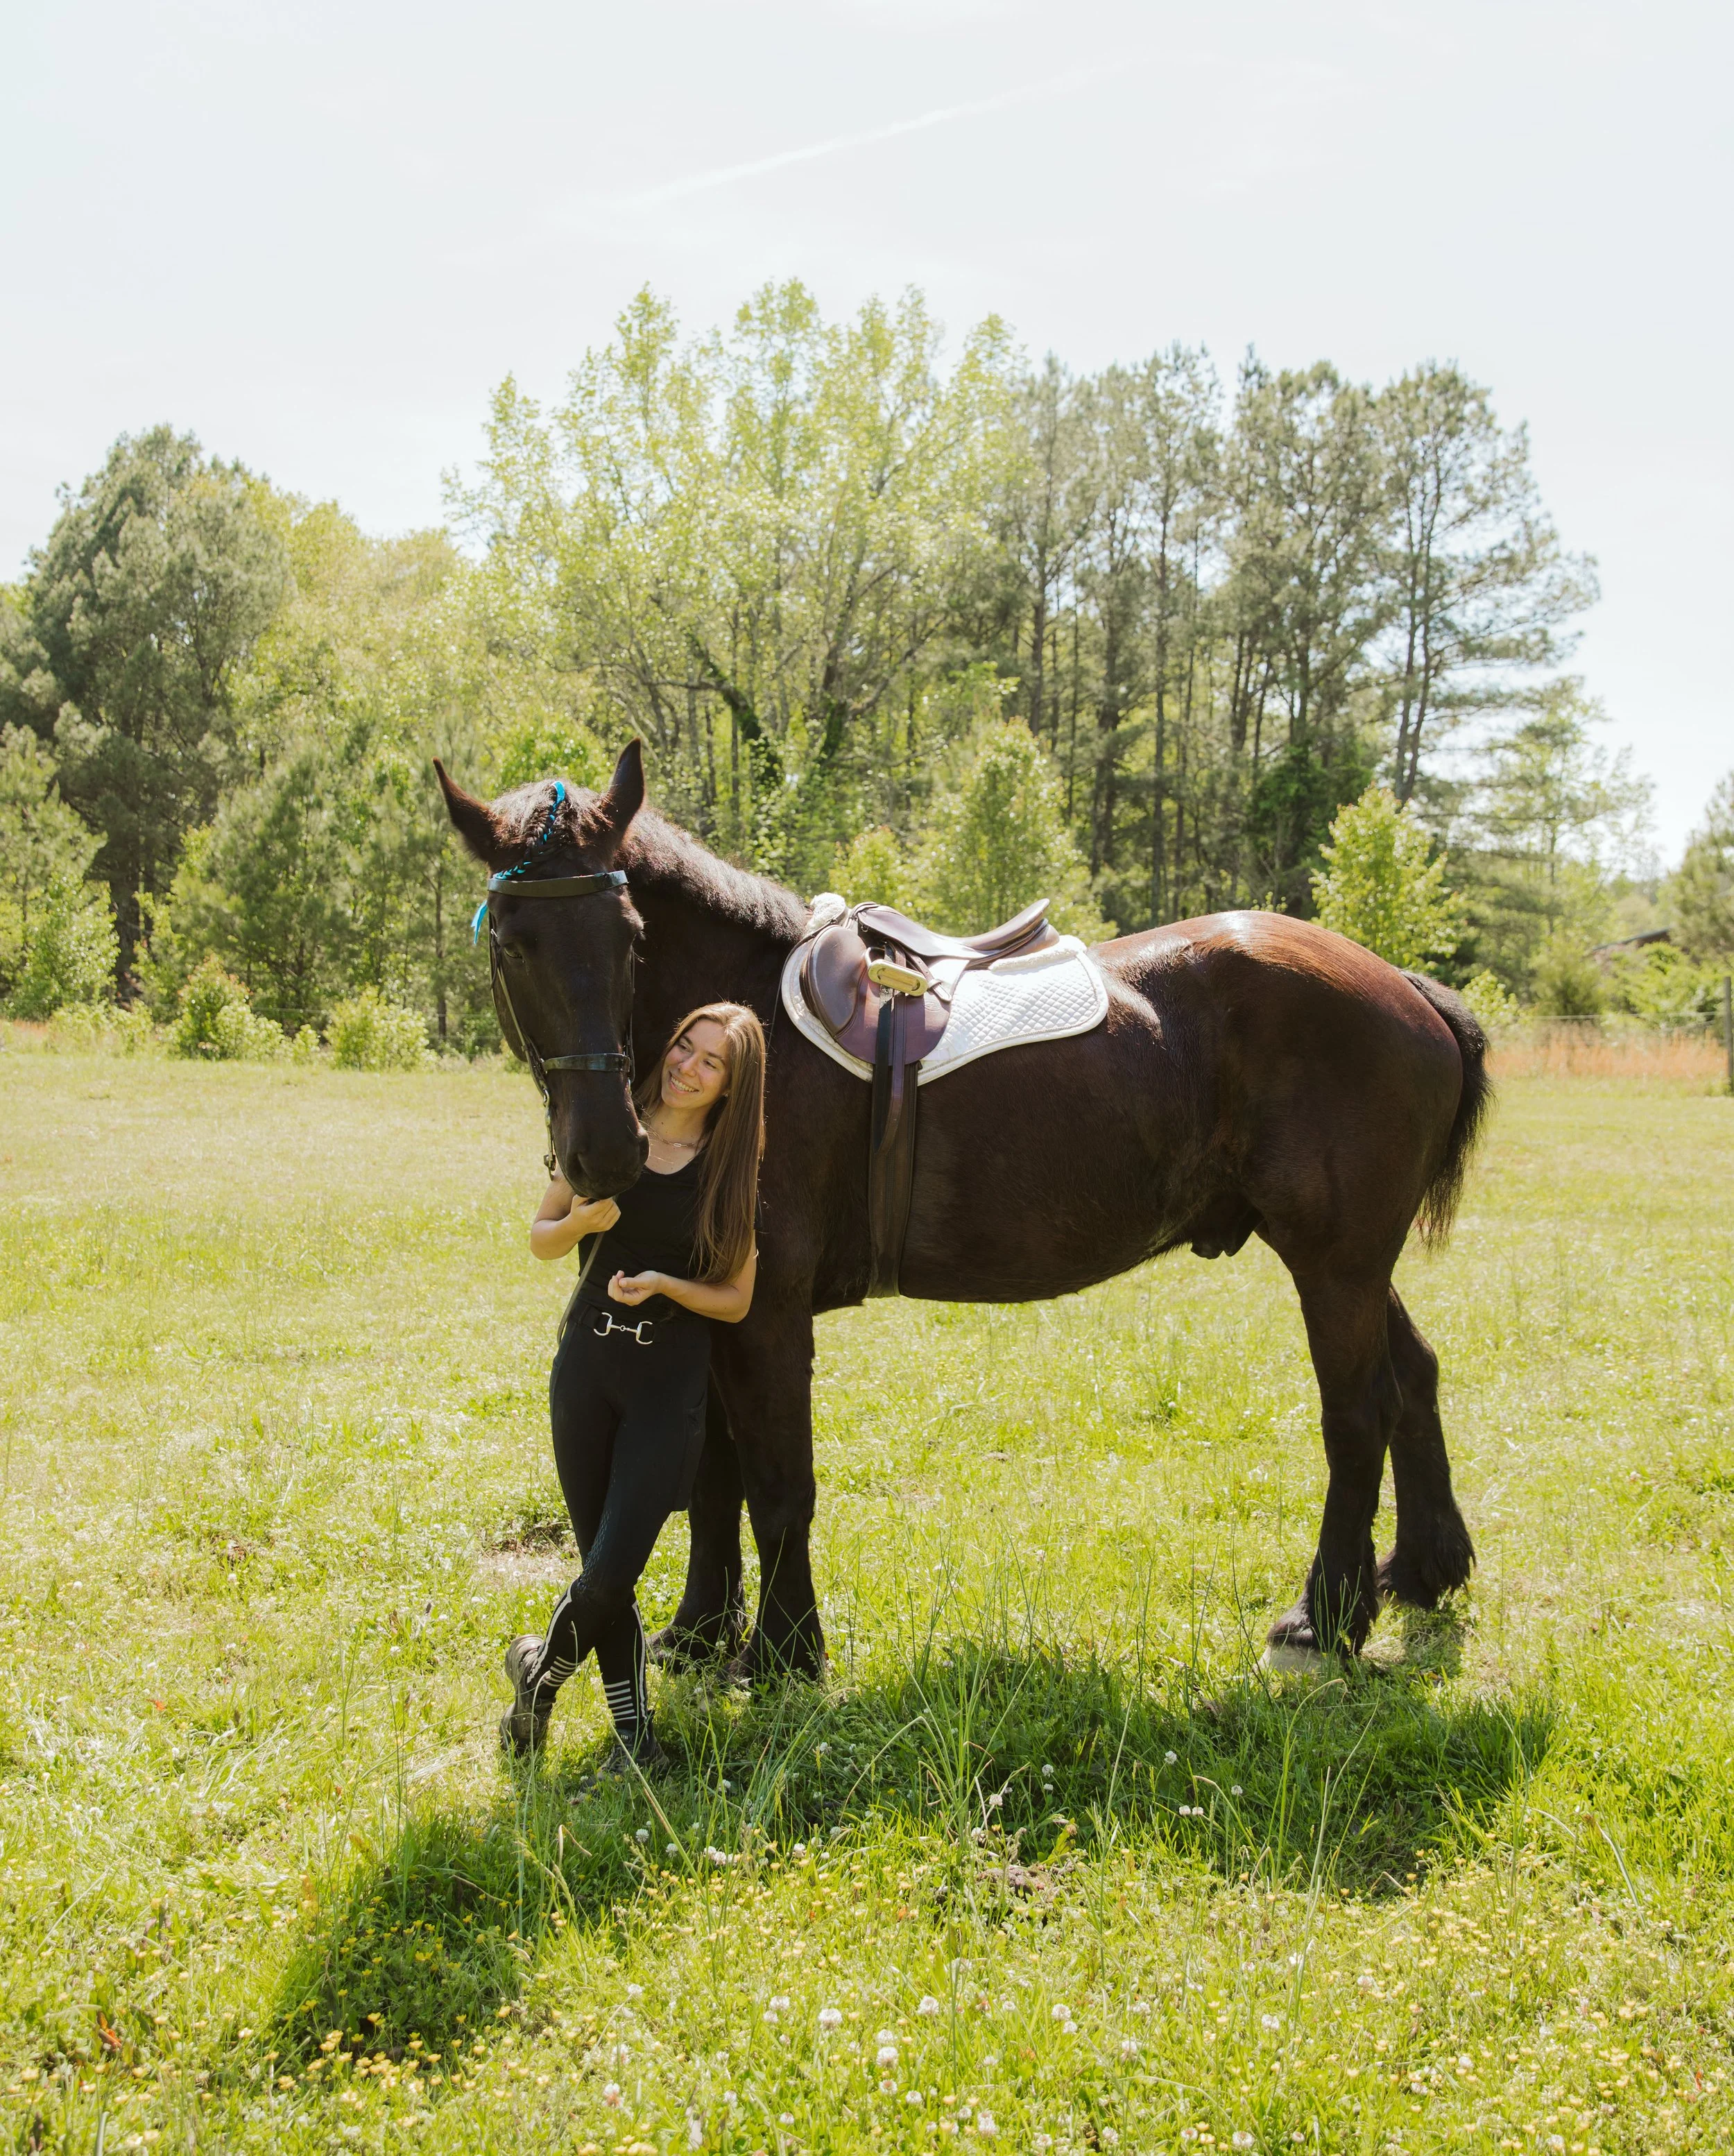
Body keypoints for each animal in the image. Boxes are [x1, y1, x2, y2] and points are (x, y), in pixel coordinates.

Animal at [438, 740, 1488, 1682]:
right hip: (1353, 1263)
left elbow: (777, 1483)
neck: (750, 1028)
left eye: (632, 938)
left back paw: (1325, 1619)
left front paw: (783, 1652)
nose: (607, 1151)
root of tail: (1405, 988)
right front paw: (698, 1632)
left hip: (1334, 1264)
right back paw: (1421, 1571)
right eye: (515, 944)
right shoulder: (706, 1305)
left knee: (1357, 1414)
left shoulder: (766, 1311)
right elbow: (712, 1478)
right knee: (1414, 1379)